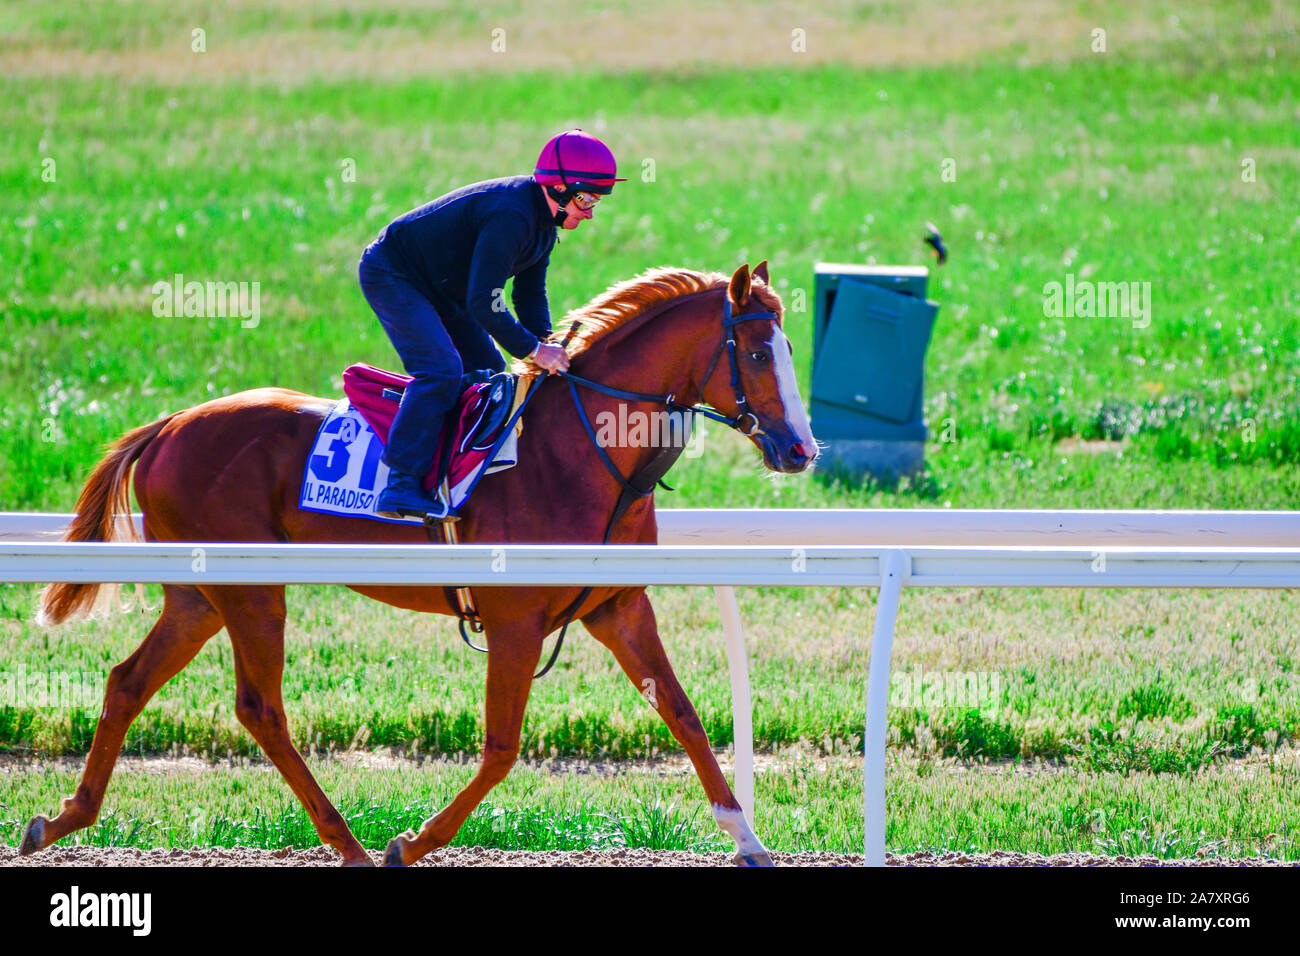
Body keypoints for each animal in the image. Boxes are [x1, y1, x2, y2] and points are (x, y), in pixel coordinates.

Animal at [22, 261, 811, 868]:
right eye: (759, 353)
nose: (802, 449)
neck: (581, 452)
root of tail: (166, 427)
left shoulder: (616, 606)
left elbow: (684, 714)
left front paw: (747, 838)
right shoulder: (515, 619)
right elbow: (501, 748)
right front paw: (412, 842)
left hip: (201, 594)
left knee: (129, 681)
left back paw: (60, 820)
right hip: (252, 589)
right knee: (260, 708)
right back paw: (349, 844)